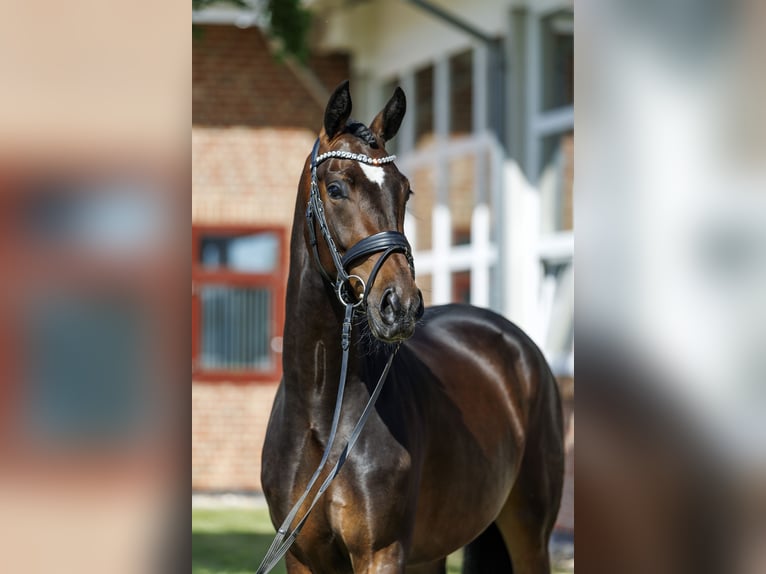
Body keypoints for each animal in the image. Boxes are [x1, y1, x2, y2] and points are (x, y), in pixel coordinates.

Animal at [261, 80, 564, 574]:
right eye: (336, 188)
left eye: (404, 191)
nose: (400, 305)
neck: (323, 408)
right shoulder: (302, 557)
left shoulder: (381, 553)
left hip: (530, 532)